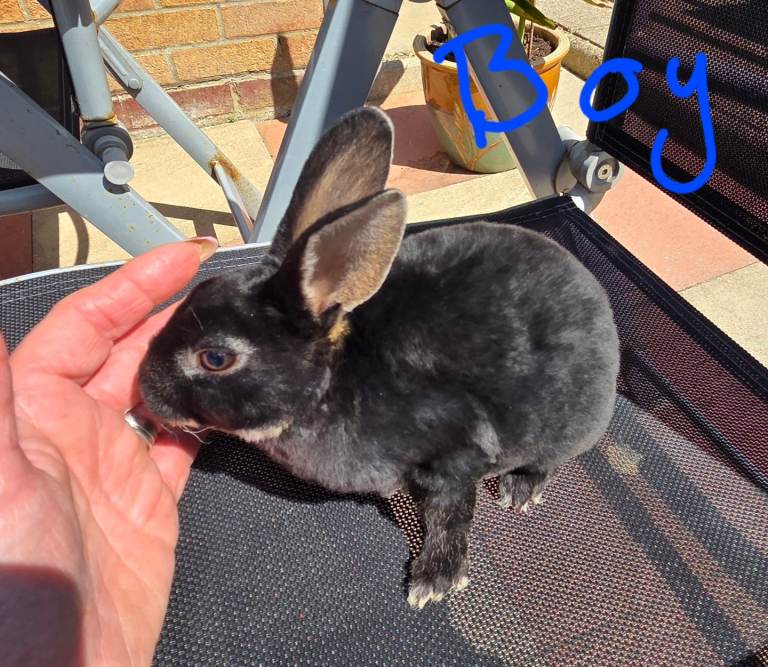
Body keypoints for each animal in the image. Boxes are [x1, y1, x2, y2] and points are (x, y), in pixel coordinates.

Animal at [139, 106, 620, 610]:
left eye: (214, 358)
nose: (146, 388)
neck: (331, 378)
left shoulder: (454, 457)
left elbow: (450, 517)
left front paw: (434, 582)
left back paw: (520, 490)